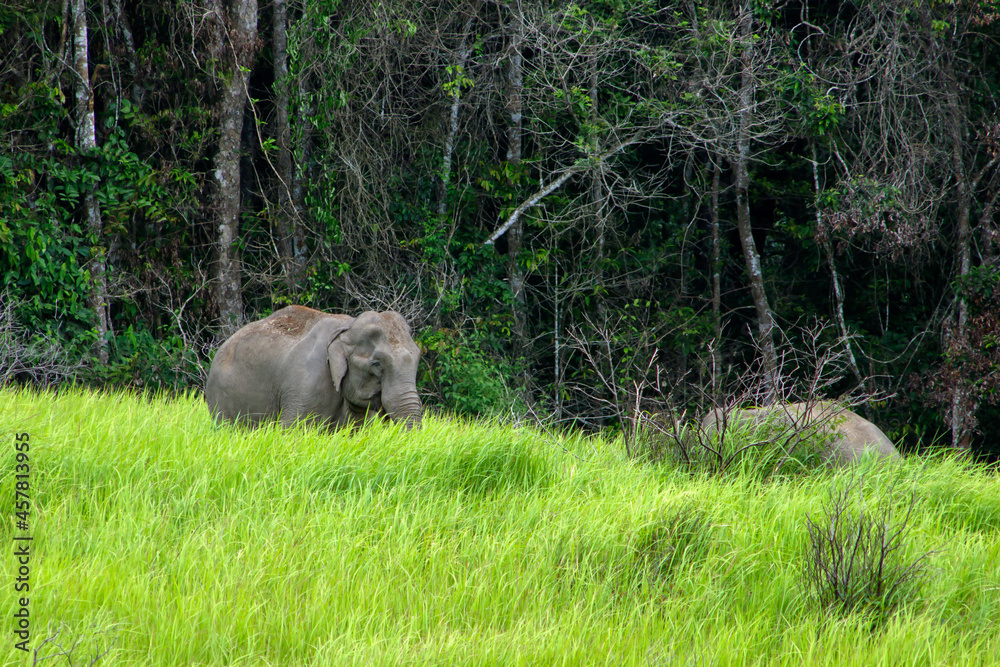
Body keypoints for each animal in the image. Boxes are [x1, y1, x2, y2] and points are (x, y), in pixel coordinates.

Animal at [205, 305, 422, 429]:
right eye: (376, 364)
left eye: (418, 357)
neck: (348, 326)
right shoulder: (307, 386)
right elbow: (291, 431)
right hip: (220, 398)